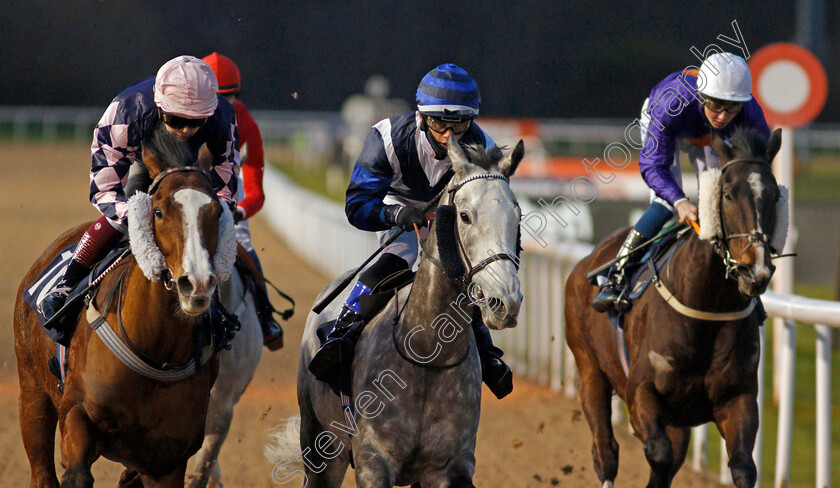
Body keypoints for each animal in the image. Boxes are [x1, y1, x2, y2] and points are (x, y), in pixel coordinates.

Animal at [14, 127, 241, 486]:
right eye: (158, 212)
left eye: (217, 213)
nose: (196, 284)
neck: (155, 349)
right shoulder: (76, 414)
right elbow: (76, 473)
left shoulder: (168, 460)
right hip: (32, 393)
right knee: (42, 470)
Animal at [564, 127, 788, 488]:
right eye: (727, 194)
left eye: (775, 196)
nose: (755, 271)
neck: (707, 307)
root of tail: (586, 263)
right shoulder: (641, 390)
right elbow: (658, 453)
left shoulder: (737, 398)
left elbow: (742, 468)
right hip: (589, 372)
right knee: (605, 450)